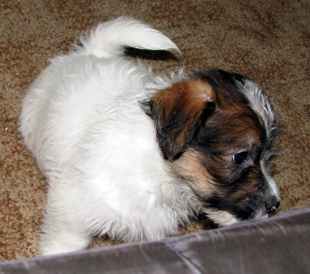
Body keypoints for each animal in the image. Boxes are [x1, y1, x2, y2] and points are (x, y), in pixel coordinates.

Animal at [19, 17, 280, 255]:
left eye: (268, 156)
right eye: (240, 157)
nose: (275, 205)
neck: (158, 172)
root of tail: (93, 53)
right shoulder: (72, 214)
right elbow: (66, 244)